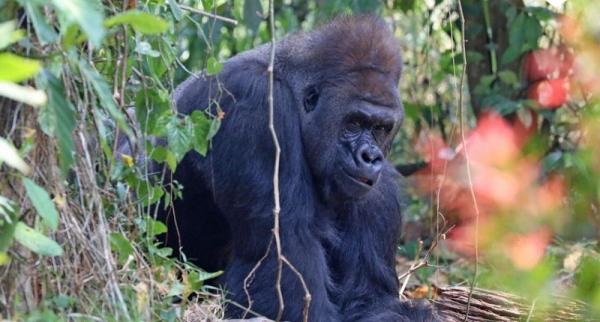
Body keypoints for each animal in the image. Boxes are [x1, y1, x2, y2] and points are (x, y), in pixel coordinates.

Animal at [162, 14, 438, 320]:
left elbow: (370, 301)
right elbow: (284, 256)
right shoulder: (257, 101)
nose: (371, 156)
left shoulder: (379, 190)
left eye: (380, 128)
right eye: (354, 124)